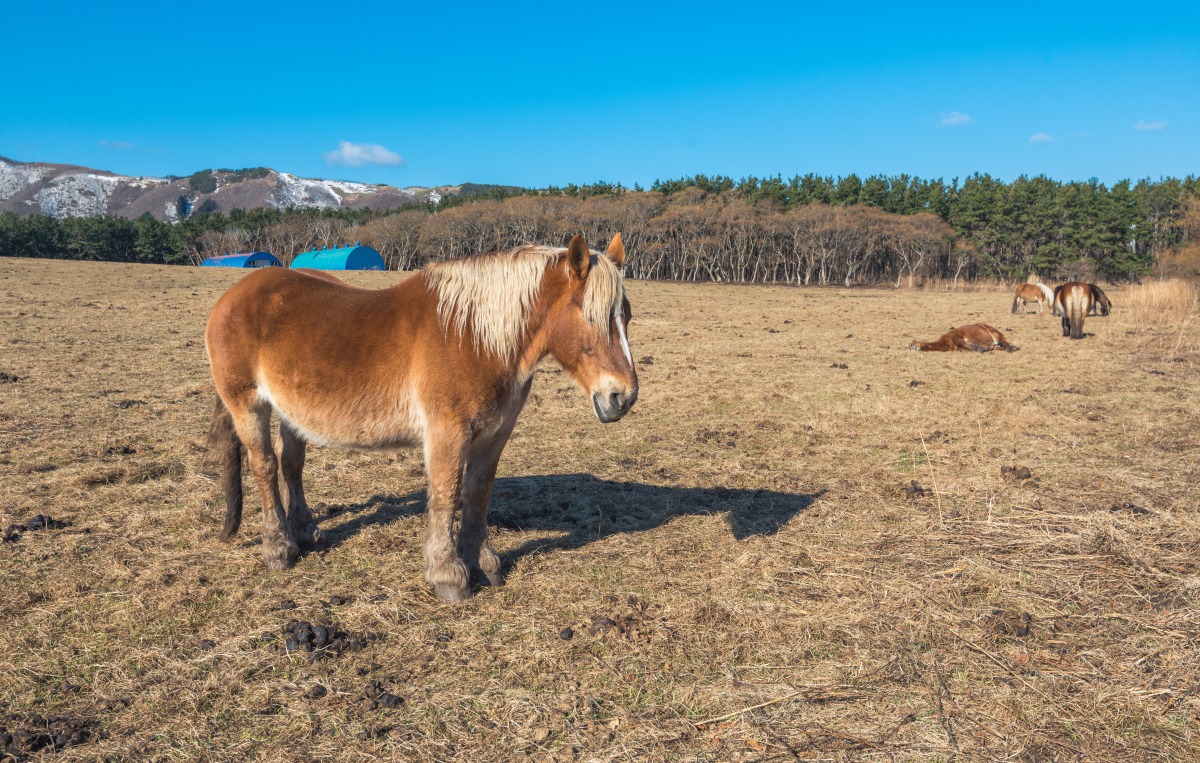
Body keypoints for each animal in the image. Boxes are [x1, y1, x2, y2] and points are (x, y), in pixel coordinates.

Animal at [206, 232, 638, 602]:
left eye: (627, 316)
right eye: (590, 316)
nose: (623, 396)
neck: (472, 336)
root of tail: (232, 296)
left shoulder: (494, 435)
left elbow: (477, 493)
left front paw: (483, 563)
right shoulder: (447, 432)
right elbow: (446, 495)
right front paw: (449, 575)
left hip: (291, 412)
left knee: (291, 464)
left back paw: (306, 532)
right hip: (248, 405)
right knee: (264, 466)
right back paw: (279, 547)